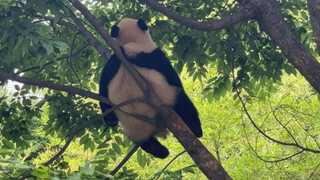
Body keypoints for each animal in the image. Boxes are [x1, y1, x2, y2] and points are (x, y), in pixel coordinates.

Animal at [99, 18, 202, 159]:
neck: (132, 42)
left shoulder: (114, 60)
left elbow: (103, 86)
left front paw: (109, 118)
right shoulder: (155, 56)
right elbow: (173, 79)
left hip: (131, 127)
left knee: (145, 142)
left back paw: (160, 150)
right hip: (169, 98)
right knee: (184, 104)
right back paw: (196, 129)